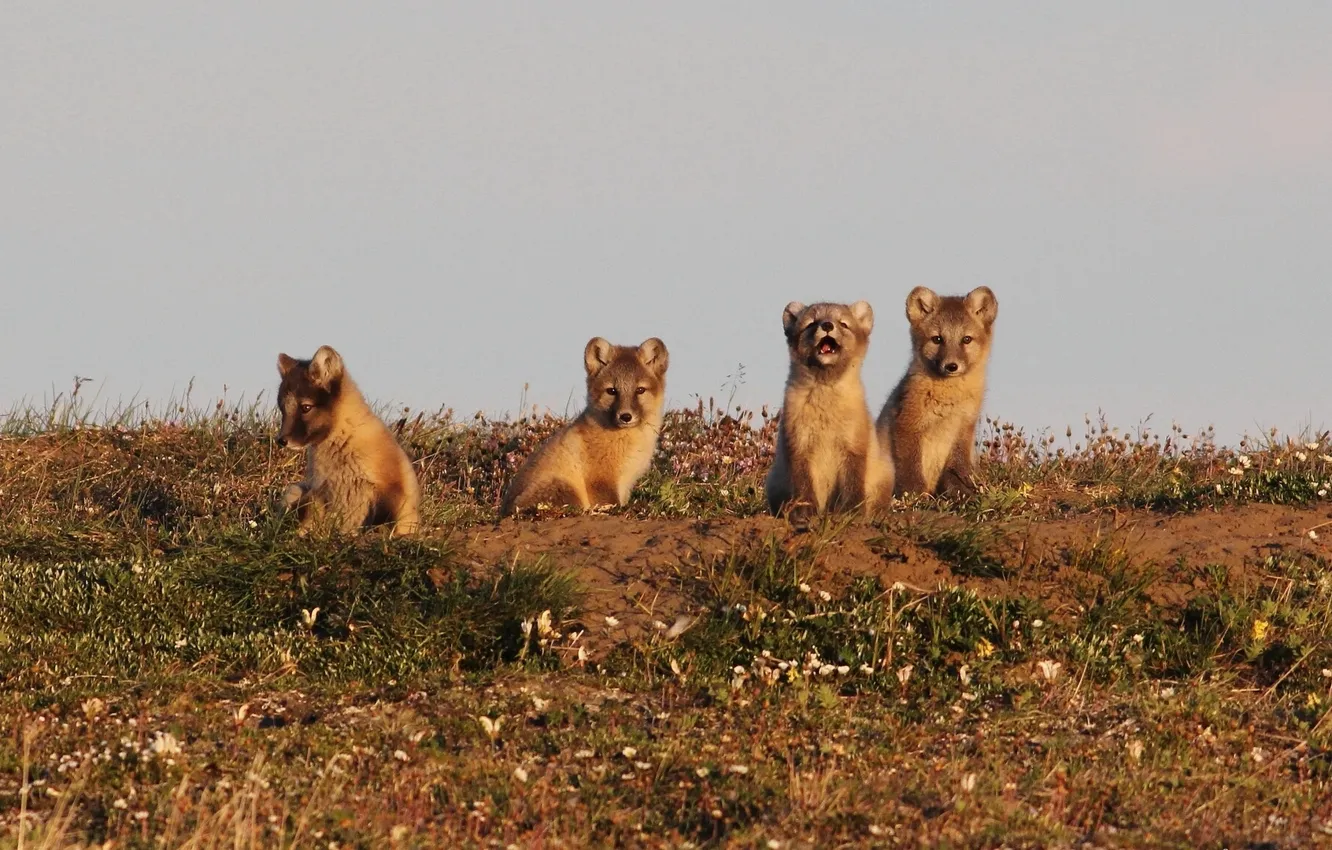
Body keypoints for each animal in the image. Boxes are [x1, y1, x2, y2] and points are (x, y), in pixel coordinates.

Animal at [275, 345, 421, 535]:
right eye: (282, 409)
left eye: (306, 407)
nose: (281, 440)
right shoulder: (319, 491)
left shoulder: (390, 490)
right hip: (296, 489)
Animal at [501, 337, 669, 516]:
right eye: (612, 391)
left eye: (640, 390)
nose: (625, 416)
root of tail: (504, 512)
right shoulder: (602, 480)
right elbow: (612, 504)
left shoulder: (625, 485)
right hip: (566, 489)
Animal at [765, 300, 895, 523]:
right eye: (811, 323)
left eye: (843, 323)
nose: (826, 325)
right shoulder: (798, 443)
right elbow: (804, 485)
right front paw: (805, 512)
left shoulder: (853, 444)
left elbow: (852, 484)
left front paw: (851, 513)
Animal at [876, 286, 998, 497]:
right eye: (937, 339)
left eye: (966, 339)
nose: (951, 366)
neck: (950, 402)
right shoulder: (906, 424)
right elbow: (910, 469)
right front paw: (916, 494)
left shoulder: (964, 428)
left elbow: (958, 469)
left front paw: (963, 491)